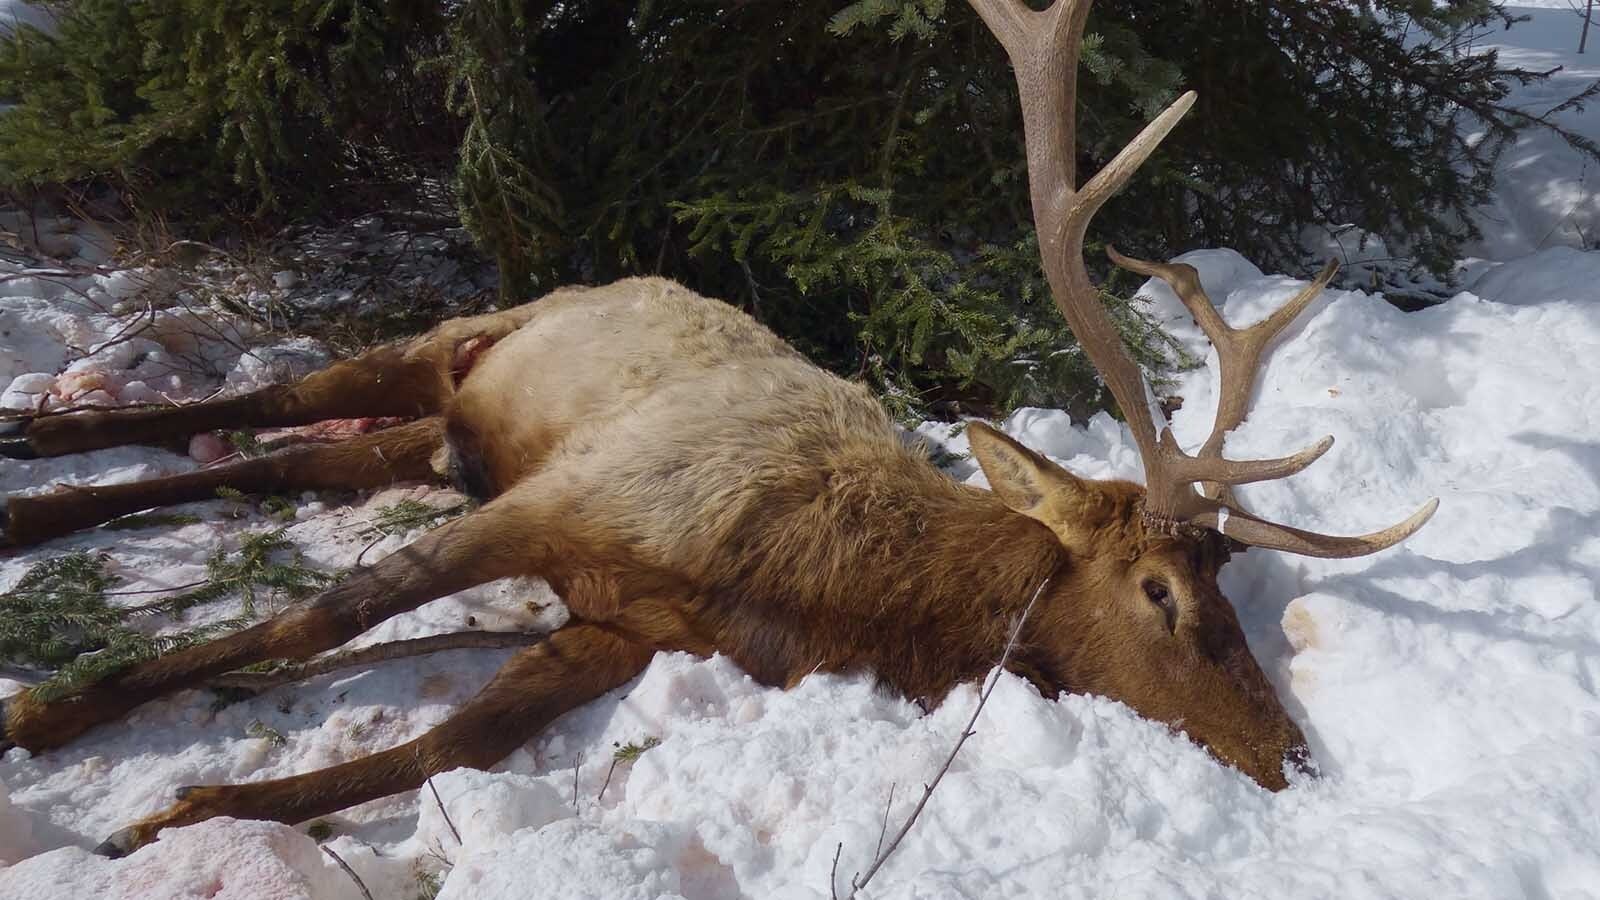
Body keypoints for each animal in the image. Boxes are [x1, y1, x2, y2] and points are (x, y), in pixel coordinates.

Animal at [0, 0, 1436, 859]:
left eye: (1227, 581)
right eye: (1159, 591)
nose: (1291, 755)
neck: (802, 579)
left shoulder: (626, 624)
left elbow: (452, 744)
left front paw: (189, 811)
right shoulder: (561, 499)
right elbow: (309, 623)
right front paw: (48, 721)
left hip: (436, 437)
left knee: (304, 455)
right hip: (465, 338)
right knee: (274, 404)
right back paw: (31, 479)